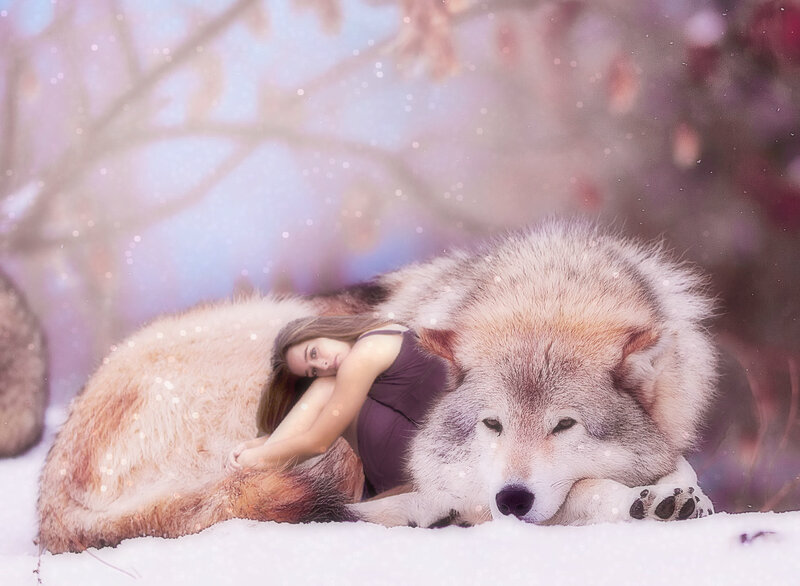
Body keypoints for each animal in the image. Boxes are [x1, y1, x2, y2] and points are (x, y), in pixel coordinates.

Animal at [38, 221, 715, 552]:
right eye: (491, 423)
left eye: (565, 425)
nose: (512, 498)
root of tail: (52, 495)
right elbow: (576, 495)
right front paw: (640, 501)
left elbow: (675, 462)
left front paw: (675, 492)